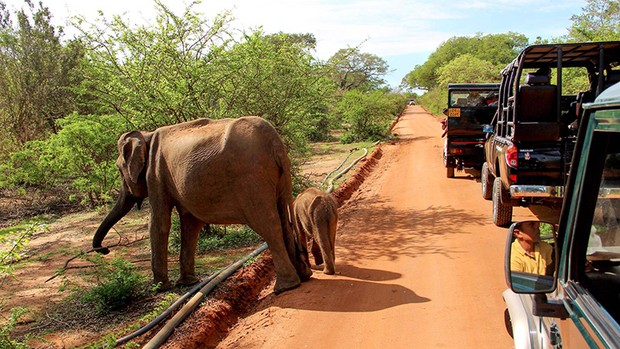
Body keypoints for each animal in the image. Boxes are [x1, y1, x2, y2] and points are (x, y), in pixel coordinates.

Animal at [91, 116, 314, 294]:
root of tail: (275, 142)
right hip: (278, 176)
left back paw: (284, 288)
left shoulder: (156, 175)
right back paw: (303, 276)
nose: (105, 250)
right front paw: (187, 283)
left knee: (268, 224)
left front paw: (159, 288)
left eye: (119, 169)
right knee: (284, 219)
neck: (146, 135)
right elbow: (190, 223)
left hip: (252, 177)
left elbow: (159, 223)